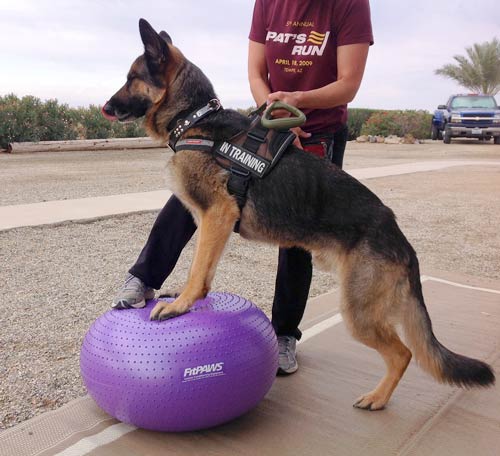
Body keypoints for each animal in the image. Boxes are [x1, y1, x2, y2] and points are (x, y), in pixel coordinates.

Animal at [103, 18, 494, 410]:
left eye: (131, 77)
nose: (105, 107)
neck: (195, 118)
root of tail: (400, 238)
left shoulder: (217, 214)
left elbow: (197, 270)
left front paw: (180, 305)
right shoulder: (211, 221)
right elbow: (202, 269)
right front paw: (188, 298)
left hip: (358, 312)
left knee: (403, 353)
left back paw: (378, 398)